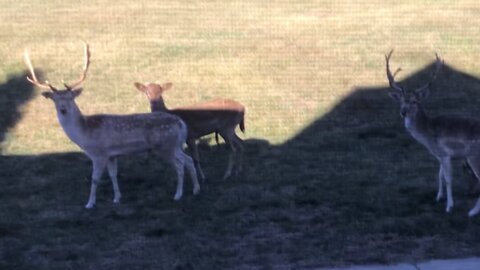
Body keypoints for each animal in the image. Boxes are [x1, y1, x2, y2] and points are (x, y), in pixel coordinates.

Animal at [23, 43, 200, 209]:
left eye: (70, 97)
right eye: (55, 99)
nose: (63, 109)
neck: (84, 133)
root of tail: (181, 124)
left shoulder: (98, 153)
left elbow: (95, 179)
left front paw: (90, 203)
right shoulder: (111, 155)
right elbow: (113, 175)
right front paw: (116, 198)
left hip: (166, 146)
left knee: (180, 164)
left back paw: (178, 194)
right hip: (175, 145)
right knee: (189, 160)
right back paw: (196, 189)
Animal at [384, 50, 480, 215]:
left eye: (414, 101)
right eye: (401, 101)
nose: (403, 112)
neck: (428, 136)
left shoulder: (445, 153)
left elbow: (448, 179)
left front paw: (449, 206)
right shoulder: (440, 155)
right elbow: (439, 175)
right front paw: (438, 197)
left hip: (474, 155)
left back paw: (472, 212)